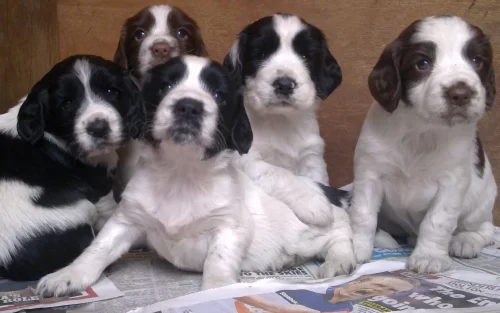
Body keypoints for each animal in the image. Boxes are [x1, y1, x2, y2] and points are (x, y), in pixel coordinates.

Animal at [0, 55, 138, 280]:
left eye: (111, 91)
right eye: (66, 103)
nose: (98, 128)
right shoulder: (99, 189)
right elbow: (111, 212)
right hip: (79, 213)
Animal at [36, 54, 356, 296]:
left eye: (218, 95)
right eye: (165, 85)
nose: (188, 106)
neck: (182, 173)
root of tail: (331, 192)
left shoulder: (229, 227)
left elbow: (218, 263)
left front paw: (216, 294)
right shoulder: (127, 219)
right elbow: (98, 248)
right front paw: (68, 274)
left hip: (311, 233)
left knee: (340, 234)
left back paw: (340, 261)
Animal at [225, 13, 354, 228]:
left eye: (306, 56)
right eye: (260, 54)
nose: (285, 84)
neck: (280, 121)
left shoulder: (311, 158)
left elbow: (317, 180)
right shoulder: (245, 158)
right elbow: (278, 173)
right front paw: (313, 201)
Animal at [350, 15, 498, 272]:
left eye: (477, 61)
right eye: (423, 63)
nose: (461, 93)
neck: (422, 130)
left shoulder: (452, 182)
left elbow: (437, 221)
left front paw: (429, 256)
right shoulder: (370, 173)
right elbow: (363, 214)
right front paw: (356, 248)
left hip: (480, 203)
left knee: (486, 229)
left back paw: (466, 241)